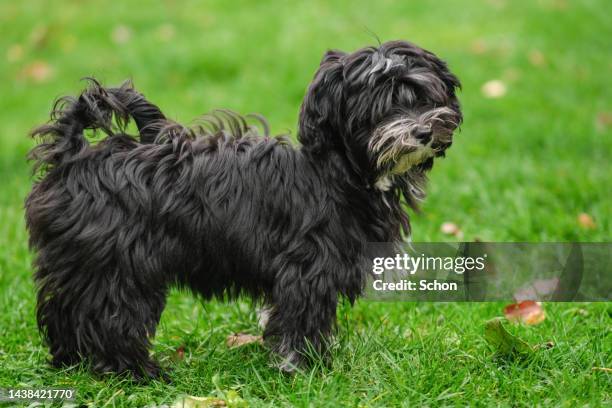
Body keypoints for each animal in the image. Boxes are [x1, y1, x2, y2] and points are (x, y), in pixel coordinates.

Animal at [26, 39, 462, 378]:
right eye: (380, 109)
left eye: (423, 97)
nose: (424, 131)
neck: (338, 171)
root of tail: (73, 156)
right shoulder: (307, 267)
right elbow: (303, 320)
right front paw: (307, 369)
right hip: (119, 266)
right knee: (109, 316)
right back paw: (133, 371)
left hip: (82, 264)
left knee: (63, 312)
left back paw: (73, 363)